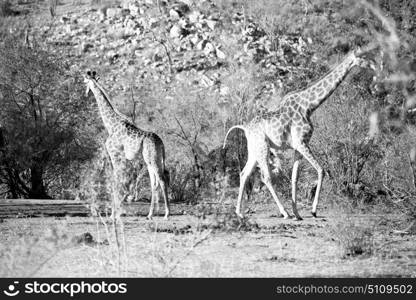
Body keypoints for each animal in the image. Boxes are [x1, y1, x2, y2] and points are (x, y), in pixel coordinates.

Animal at [83, 71, 170, 220]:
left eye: (84, 81)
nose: (86, 93)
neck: (111, 125)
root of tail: (161, 143)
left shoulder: (115, 155)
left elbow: (116, 180)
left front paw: (114, 213)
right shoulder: (121, 158)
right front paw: (116, 211)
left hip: (152, 159)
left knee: (161, 180)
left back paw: (166, 214)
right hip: (152, 160)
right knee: (155, 182)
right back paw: (150, 214)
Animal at [224, 47, 376, 220]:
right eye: (364, 57)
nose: (375, 65)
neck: (310, 106)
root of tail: (245, 128)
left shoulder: (298, 146)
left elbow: (294, 178)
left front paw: (298, 213)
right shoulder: (301, 142)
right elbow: (321, 170)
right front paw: (313, 211)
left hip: (254, 149)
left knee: (244, 173)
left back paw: (240, 213)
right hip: (263, 147)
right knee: (266, 177)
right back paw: (284, 212)